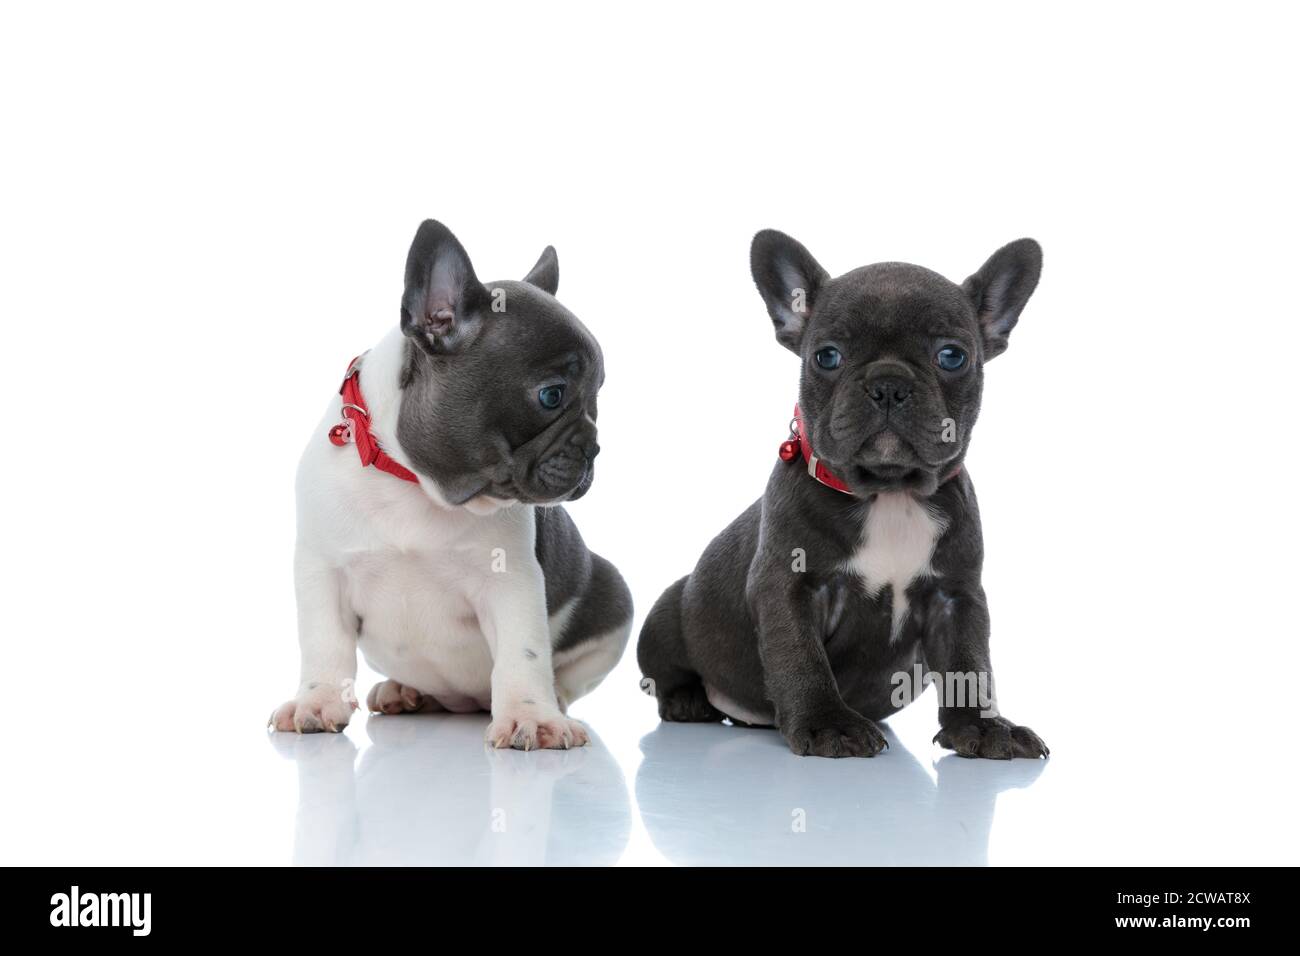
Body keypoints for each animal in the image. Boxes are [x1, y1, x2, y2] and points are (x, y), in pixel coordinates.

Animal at [271, 221, 631, 749]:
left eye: (597, 399)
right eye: (552, 395)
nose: (594, 448)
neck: (414, 483)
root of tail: (463, 702)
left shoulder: (511, 580)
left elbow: (523, 653)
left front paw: (531, 716)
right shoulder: (323, 569)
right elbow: (324, 644)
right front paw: (317, 701)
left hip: (612, 595)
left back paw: (556, 703)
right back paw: (403, 691)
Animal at [634, 227, 1050, 759]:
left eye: (952, 356)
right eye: (827, 356)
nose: (889, 383)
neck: (891, 494)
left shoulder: (957, 596)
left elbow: (969, 664)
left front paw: (982, 726)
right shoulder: (790, 586)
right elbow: (802, 658)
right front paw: (826, 723)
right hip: (666, 616)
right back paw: (689, 701)